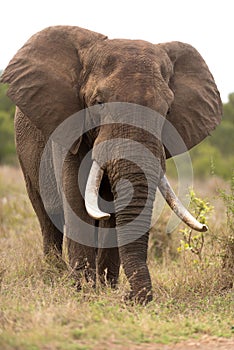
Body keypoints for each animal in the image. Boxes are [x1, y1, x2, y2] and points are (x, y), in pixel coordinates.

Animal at [0, 26, 222, 302]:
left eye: (168, 111)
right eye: (98, 103)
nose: (131, 297)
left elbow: (112, 211)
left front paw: (106, 289)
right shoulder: (68, 130)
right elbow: (76, 202)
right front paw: (83, 291)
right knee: (47, 215)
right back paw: (53, 274)